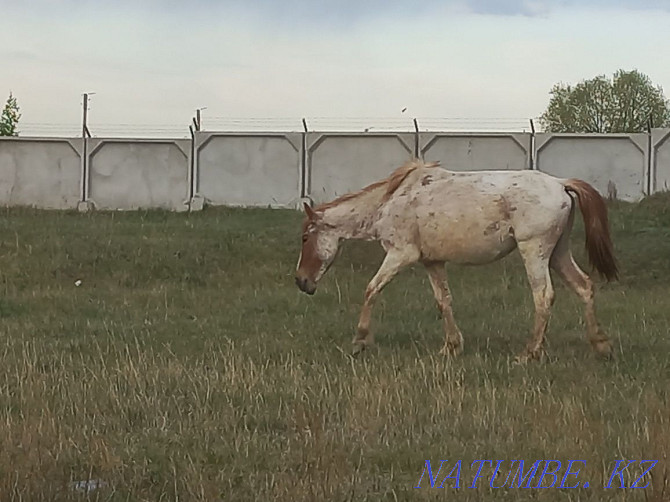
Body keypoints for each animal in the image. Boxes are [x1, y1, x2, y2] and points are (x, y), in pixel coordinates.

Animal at [294, 160, 620, 360]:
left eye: (306, 238)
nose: (301, 281)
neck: (390, 201)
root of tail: (561, 184)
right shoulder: (432, 262)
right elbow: (444, 301)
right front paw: (451, 347)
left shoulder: (400, 254)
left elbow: (371, 289)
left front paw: (360, 341)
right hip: (558, 253)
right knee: (584, 286)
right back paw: (601, 345)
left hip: (535, 251)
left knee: (543, 297)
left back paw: (529, 353)